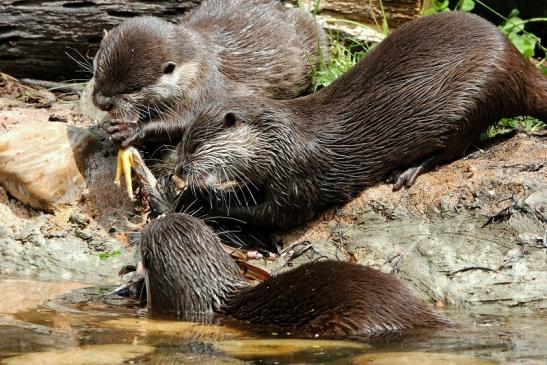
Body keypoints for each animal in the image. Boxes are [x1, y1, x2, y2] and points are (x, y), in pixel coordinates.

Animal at [172, 10, 547, 228]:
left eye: (195, 146)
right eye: (184, 143)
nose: (177, 170)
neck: (283, 140)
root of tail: (519, 63)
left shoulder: (298, 177)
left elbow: (277, 215)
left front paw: (201, 199)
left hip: (477, 93)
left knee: (454, 148)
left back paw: (406, 172)